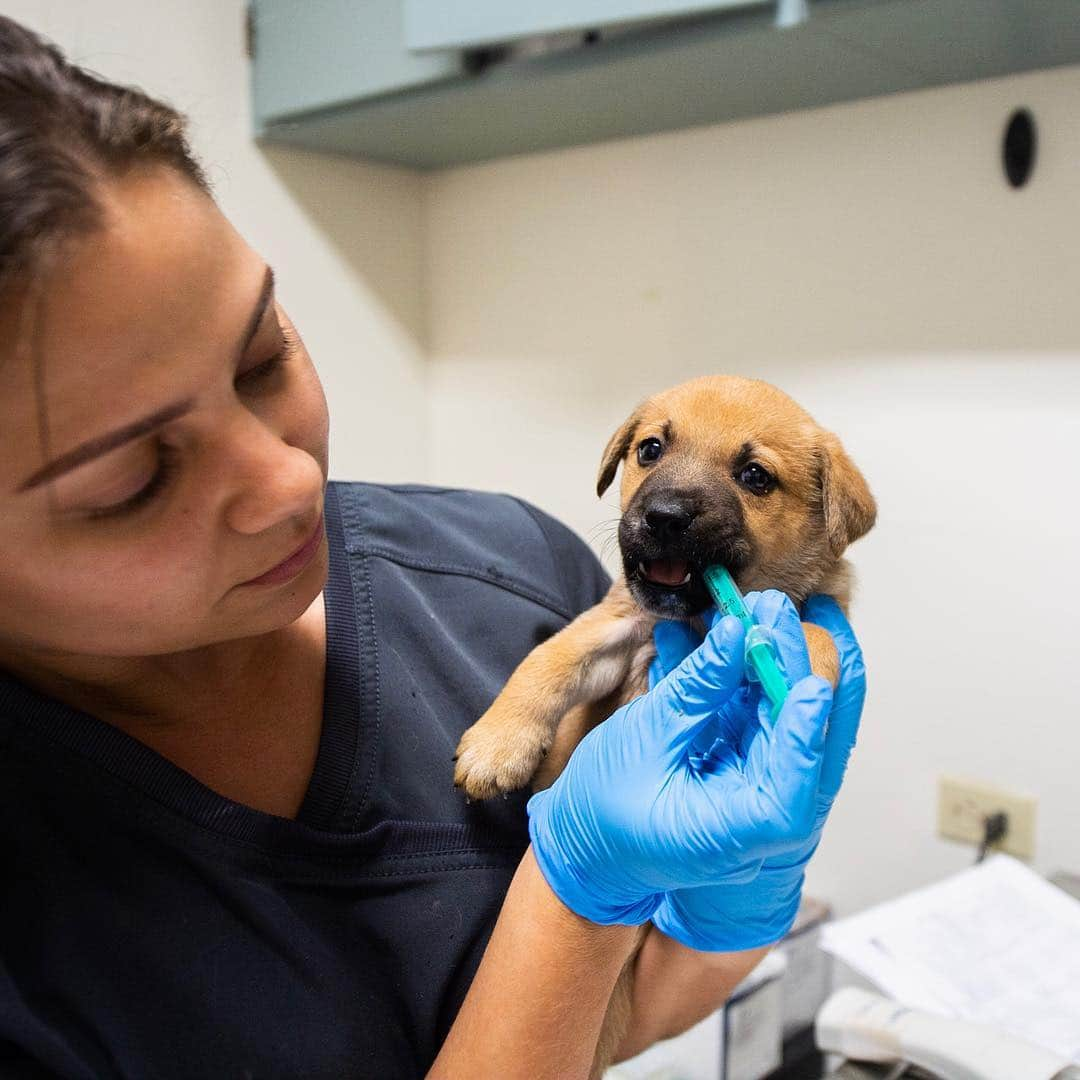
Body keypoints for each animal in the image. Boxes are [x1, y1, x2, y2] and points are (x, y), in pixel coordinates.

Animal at [451, 375, 872, 1075]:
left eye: (754, 476)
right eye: (651, 449)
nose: (666, 516)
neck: (699, 623)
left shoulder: (818, 611)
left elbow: (809, 634)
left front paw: (791, 691)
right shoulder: (616, 626)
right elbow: (548, 660)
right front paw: (497, 744)